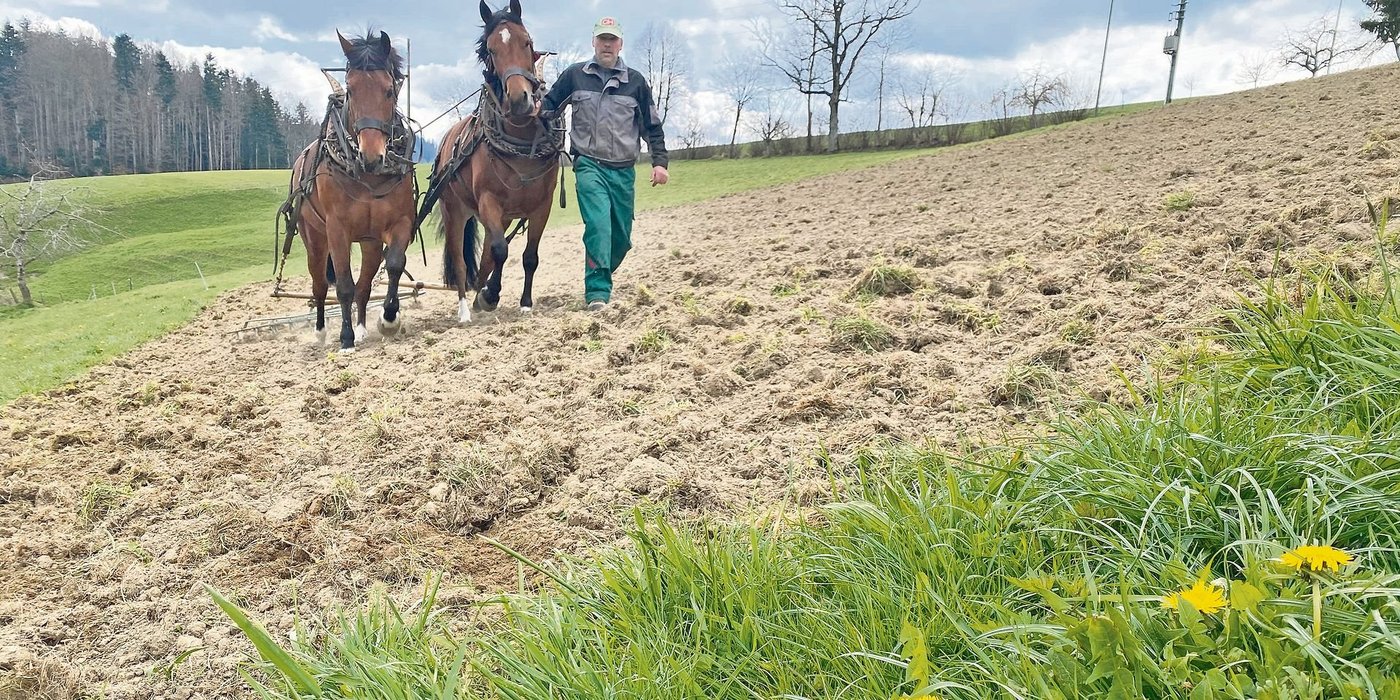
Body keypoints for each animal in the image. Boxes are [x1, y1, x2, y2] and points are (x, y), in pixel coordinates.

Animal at [281, 30, 417, 351]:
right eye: (351, 90)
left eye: (389, 90)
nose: (371, 156)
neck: (368, 177)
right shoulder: (337, 229)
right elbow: (343, 285)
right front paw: (346, 337)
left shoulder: (399, 222)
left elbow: (394, 265)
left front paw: (388, 319)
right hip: (314, 238)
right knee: (319, 284)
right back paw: (321, 331)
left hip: (368, 242)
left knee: (364, 286)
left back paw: (363, 327)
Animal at [417, 0, 562, 322]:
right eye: (491, 50)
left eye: (526, 41)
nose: (520, 100)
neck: (520, 140)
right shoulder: (488, 201)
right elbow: (499, 250)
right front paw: (490, 295)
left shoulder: (542, 206)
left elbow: (529, 256)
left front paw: (525, 302)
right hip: (455, 211)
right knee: (461, 260)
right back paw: (465, 308)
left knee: (484, 259)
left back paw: (476, 299)